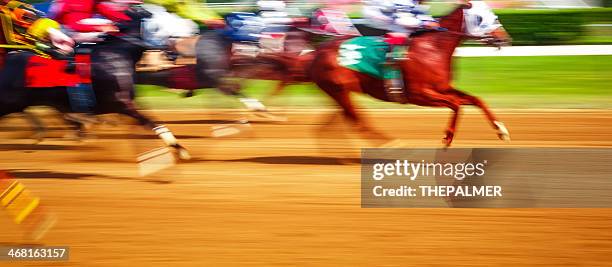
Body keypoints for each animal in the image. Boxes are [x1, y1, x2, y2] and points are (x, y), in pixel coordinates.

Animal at [310, 1, 512, 147]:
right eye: (480, 18)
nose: (505, 39)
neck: (433, 49)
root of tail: (317, 52)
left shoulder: (443, 88)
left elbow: (475, 100)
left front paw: (501, 130)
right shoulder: (418, 95)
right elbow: (456, 104)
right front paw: (447, 137)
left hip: (339, 92)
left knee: (332, 125)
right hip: (338, 90)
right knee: (356, 120)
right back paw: (389, 144)